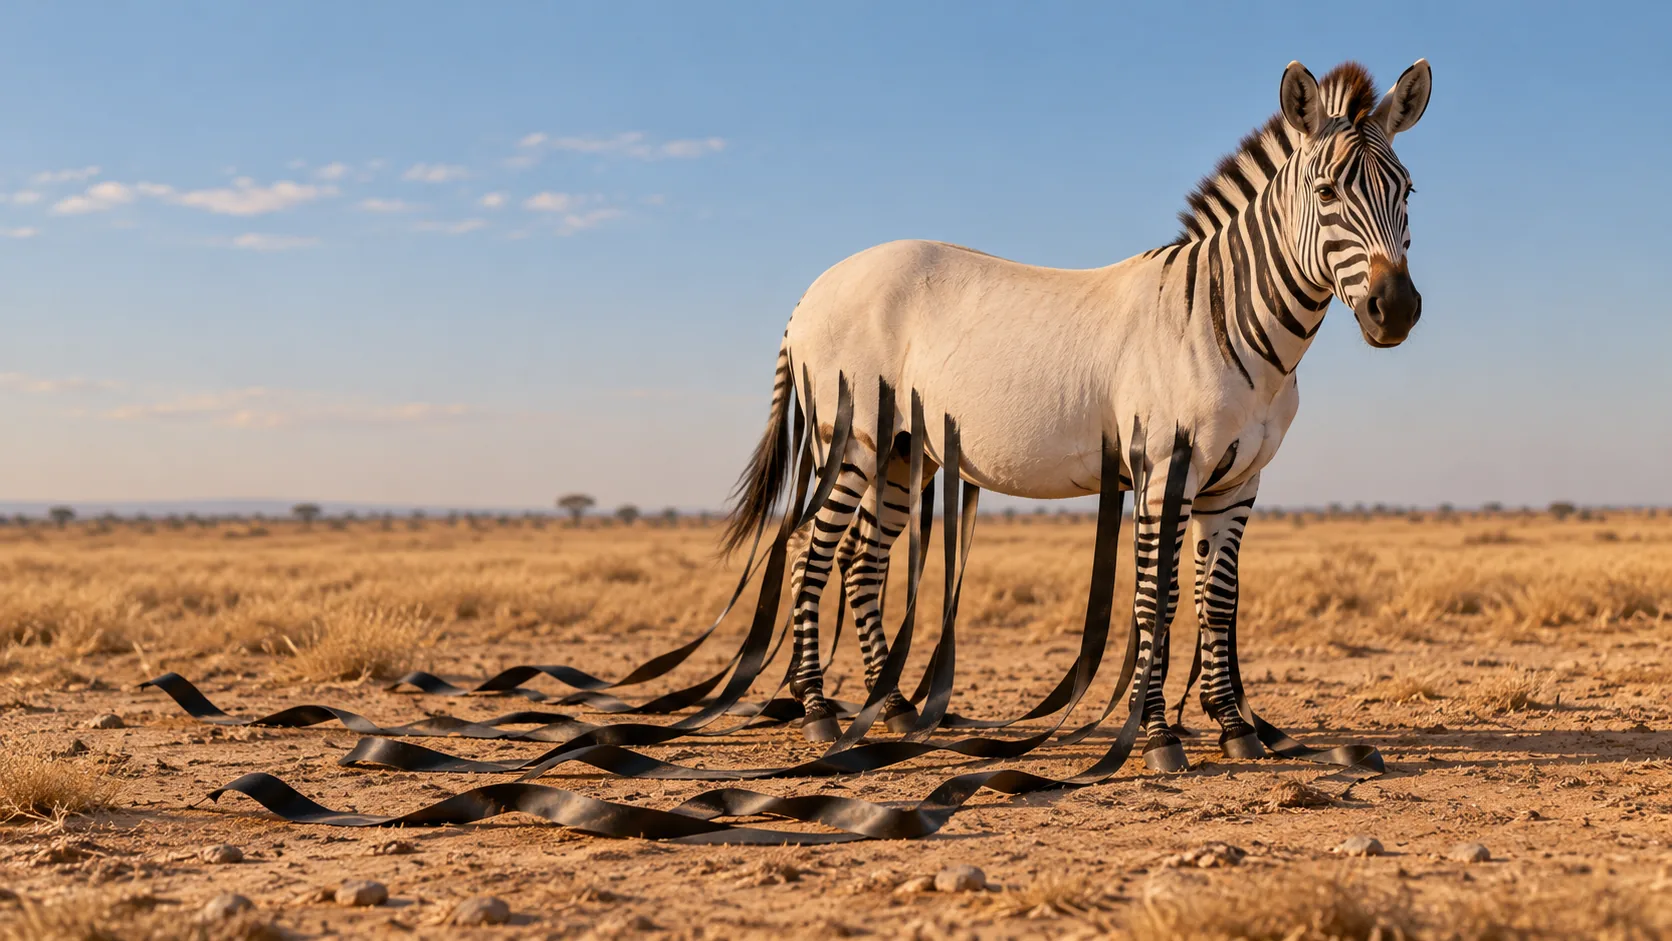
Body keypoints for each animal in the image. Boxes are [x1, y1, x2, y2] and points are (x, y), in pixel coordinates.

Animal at [722, 59, 1432, 768]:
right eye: (1327, 193)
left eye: (1407, 192)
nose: (1395, 310)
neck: (1225, 320)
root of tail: (815, 290)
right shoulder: (1165, 471)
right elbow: (1156, 601)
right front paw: (1156, 736)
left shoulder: (1237, 483)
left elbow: (1218, 603)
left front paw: (1235, 727)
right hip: (851, 441)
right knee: (808, 551)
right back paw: (819, 711)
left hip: (905, 453)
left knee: (862, 560)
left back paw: (891, 707)